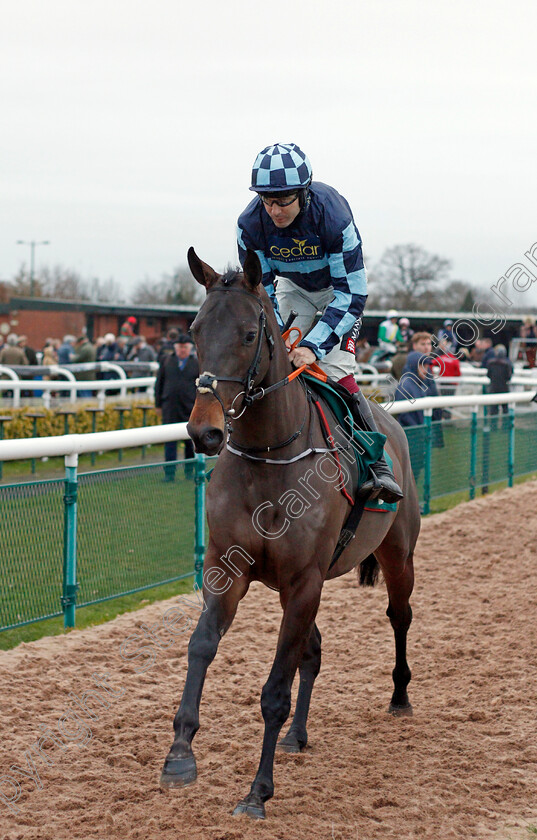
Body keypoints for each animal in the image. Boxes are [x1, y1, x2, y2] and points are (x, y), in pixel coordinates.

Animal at [159, 249, 418, 820]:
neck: (269, 454)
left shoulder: (304, 580)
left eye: (248, 335)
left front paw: (258, 791)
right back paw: (298, 735)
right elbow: (201, 646)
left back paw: (400, 697)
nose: (204, 431)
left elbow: (275, 688)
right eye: (194, 329)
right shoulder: (228, 570)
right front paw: (180, 754)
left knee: (399, 615)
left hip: (396, 554)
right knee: (313, 651)